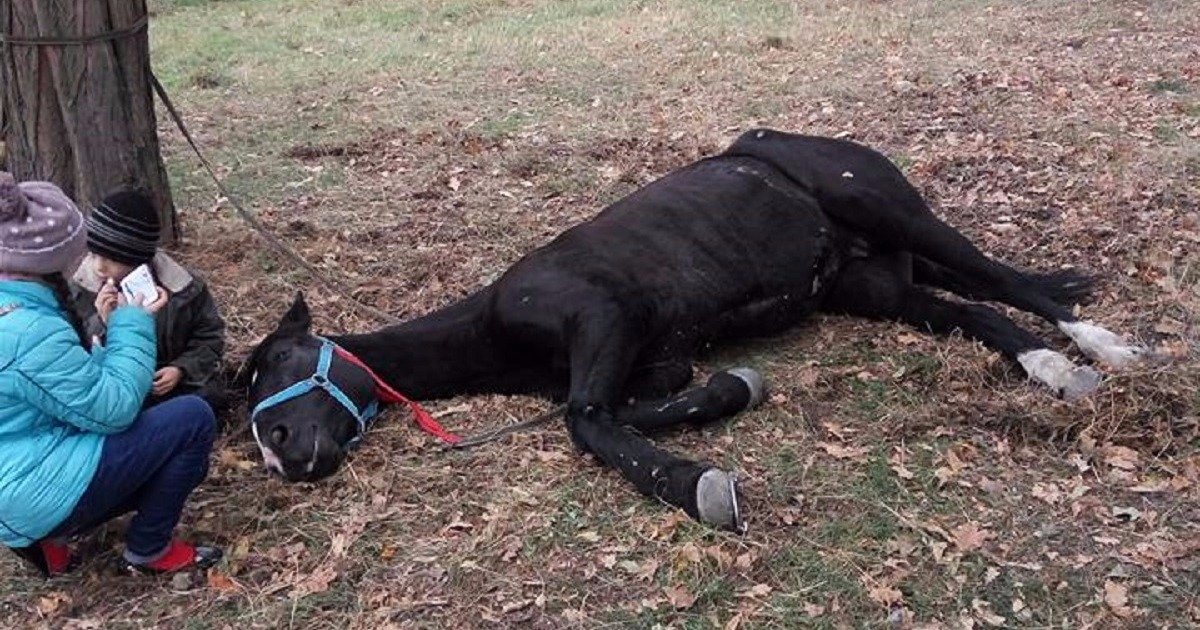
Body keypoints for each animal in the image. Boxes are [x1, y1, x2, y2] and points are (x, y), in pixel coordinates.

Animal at [240, 128, 1143, 531]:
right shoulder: (647, 360)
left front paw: (695, 483)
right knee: (979, 311)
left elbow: (586, 422)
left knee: (1007, 283)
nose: (280, 453)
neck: (498, 321)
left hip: (886, 208)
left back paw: (1107, 349)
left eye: (279, 358)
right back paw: (1055, 371)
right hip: (877, 288)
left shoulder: (604, 316)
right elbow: (634, 404)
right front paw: (732, 389)